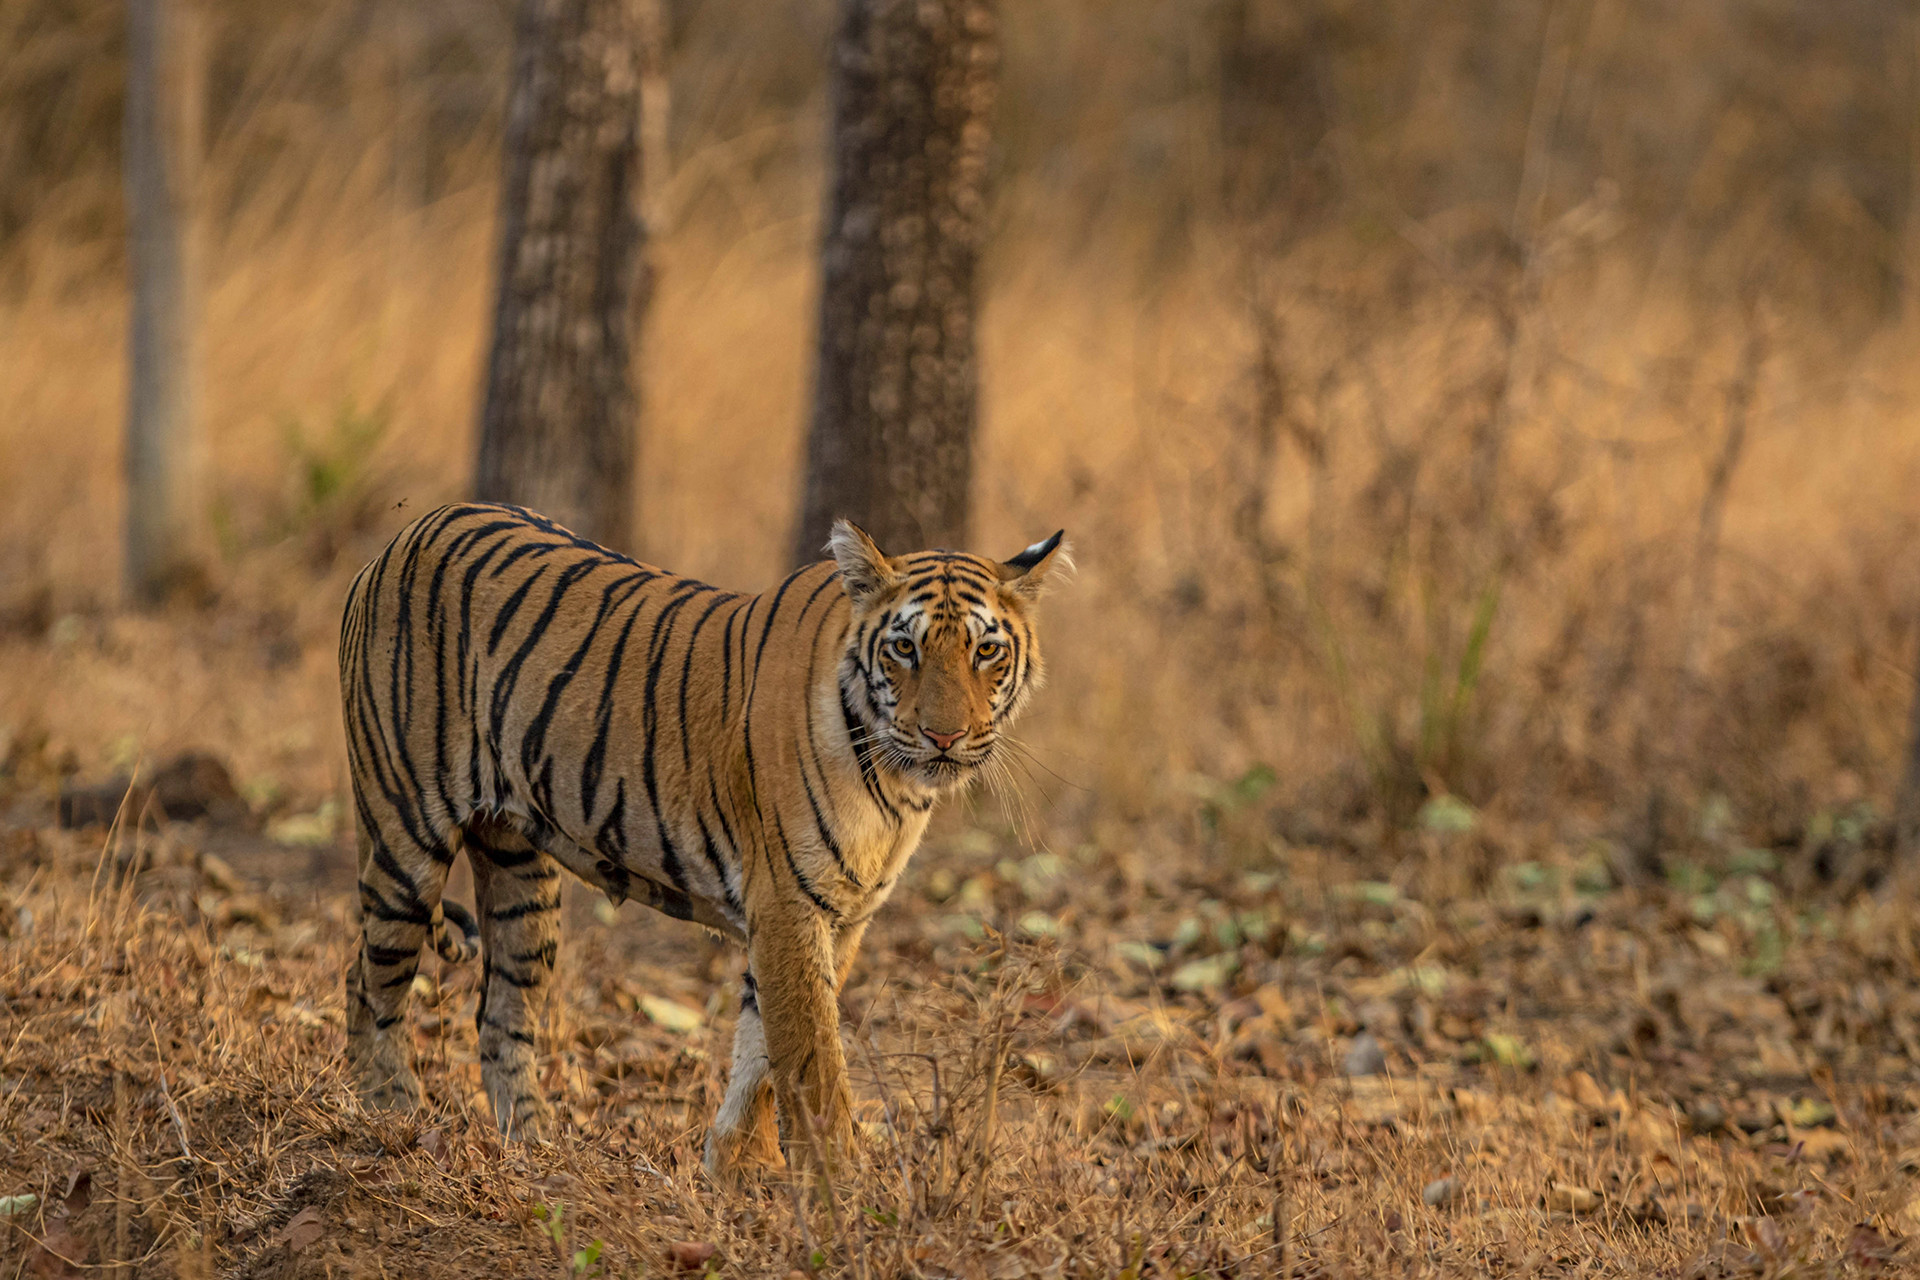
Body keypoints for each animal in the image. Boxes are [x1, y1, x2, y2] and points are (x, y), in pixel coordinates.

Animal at [341, 498, 1067, 1182]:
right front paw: (839, 1188)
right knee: (370, 981)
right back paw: (387, 1117)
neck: (894, 783)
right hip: (408, 833)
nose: (945, 736)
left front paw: (737, 1172)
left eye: (986, 651)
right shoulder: (789, 903)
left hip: (522, 878)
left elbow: (761, 1054)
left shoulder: (839, 914)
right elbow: (812, 1059)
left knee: (501, 1017)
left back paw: (535, 1147)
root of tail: (410, 531)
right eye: (905, 649)